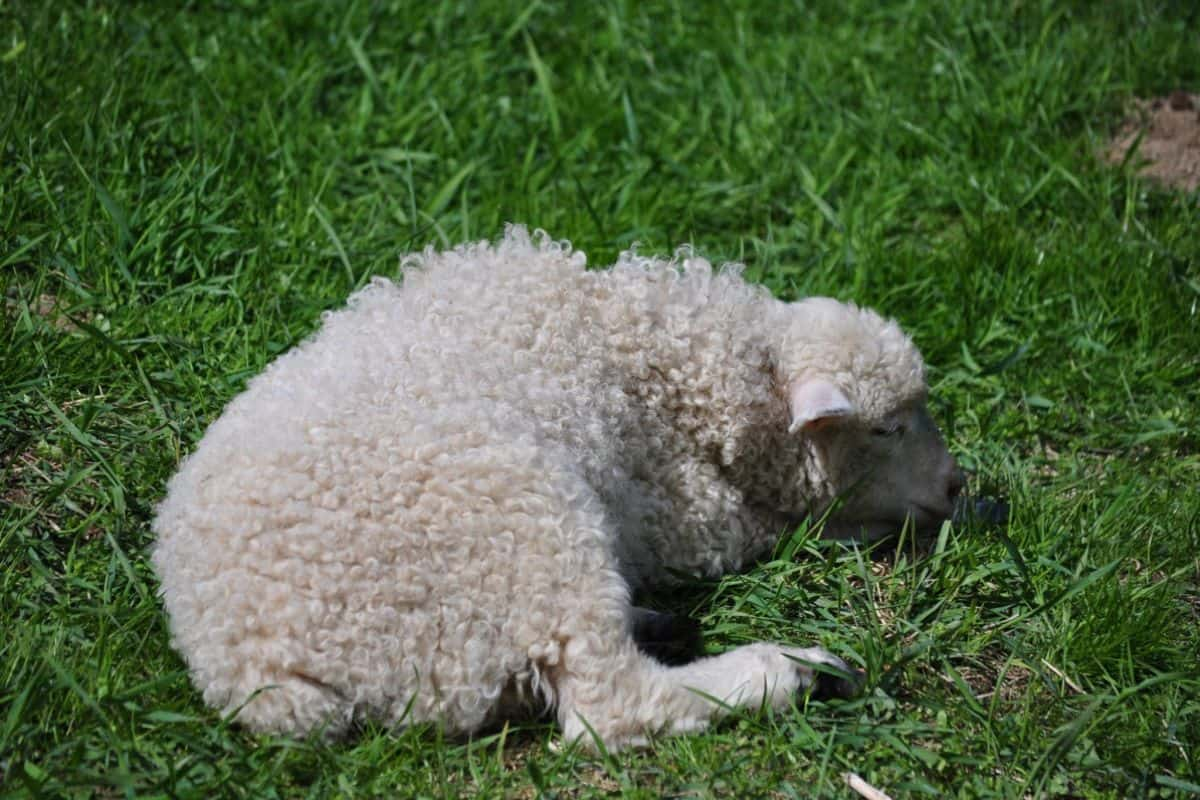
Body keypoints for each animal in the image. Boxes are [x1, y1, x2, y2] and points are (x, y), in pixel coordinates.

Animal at [150, 225, 964, 753]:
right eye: (887, 428)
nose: (958, 486)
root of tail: (255, 668)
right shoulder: (680, 512)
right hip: (525, 522)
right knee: (612, 709)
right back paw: (797, 672)